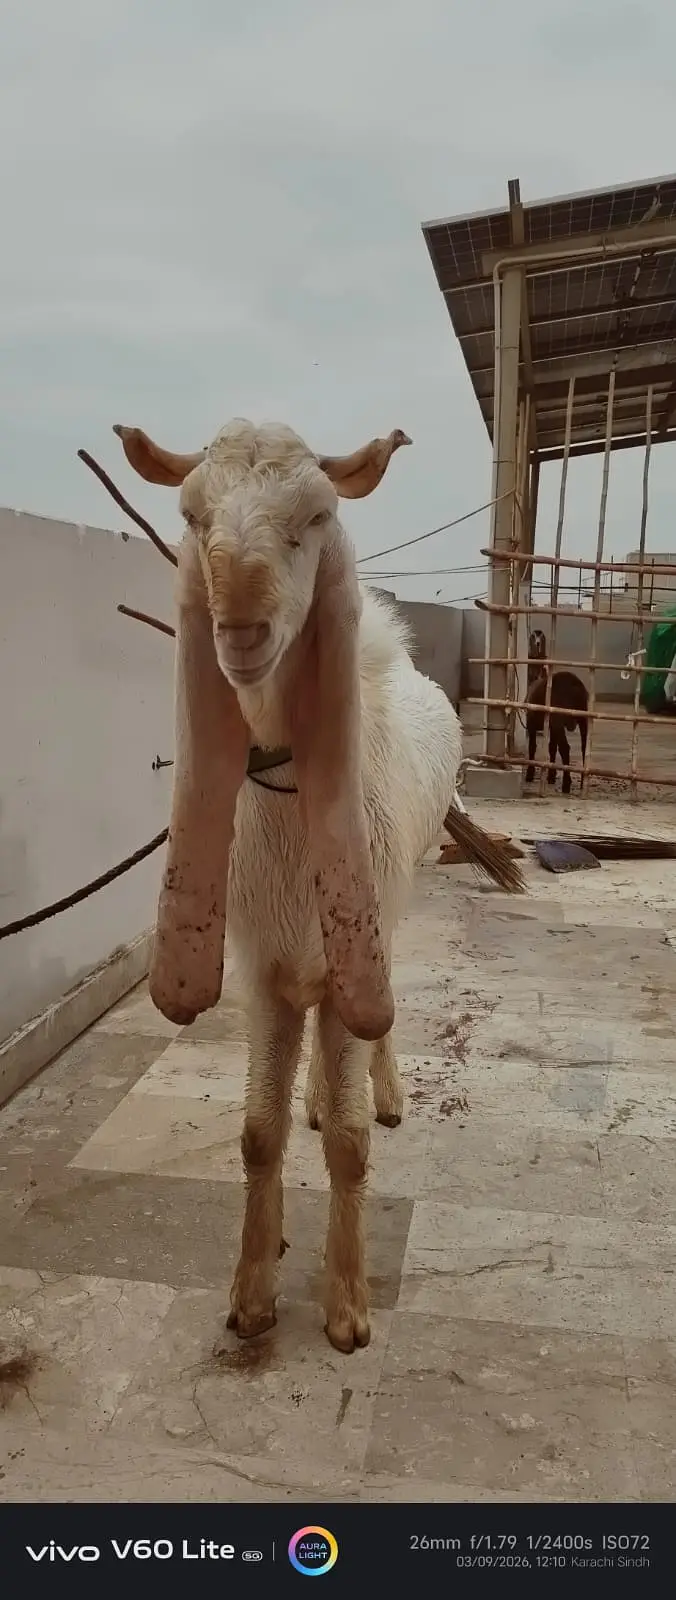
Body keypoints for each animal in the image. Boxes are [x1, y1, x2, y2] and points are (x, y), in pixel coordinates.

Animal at [114, 416, 521, 1355]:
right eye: (191, 516)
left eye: (316, 517)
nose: (240, 626)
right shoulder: (261, 962)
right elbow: (258, 1136)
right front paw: (251, 1295)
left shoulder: (348, 951)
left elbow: (348, 1142)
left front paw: (347, 1307)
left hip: (394, 896)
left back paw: (386, 1089)